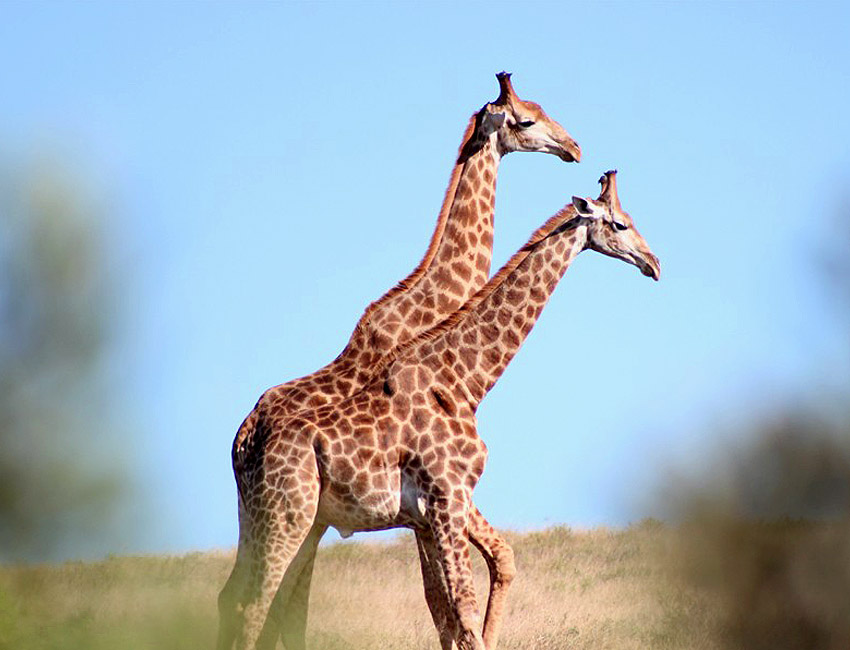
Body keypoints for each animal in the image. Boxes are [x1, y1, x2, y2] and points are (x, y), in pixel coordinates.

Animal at [230, 171, 660, 650]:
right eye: (621, 224)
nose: (654, 263)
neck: (464, 381)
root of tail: (245, 444)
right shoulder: (448, 497)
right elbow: (463, 614)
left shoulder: (430, 512)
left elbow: (452, 612)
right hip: (288, 516)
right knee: (253, 606)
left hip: (273, 519)